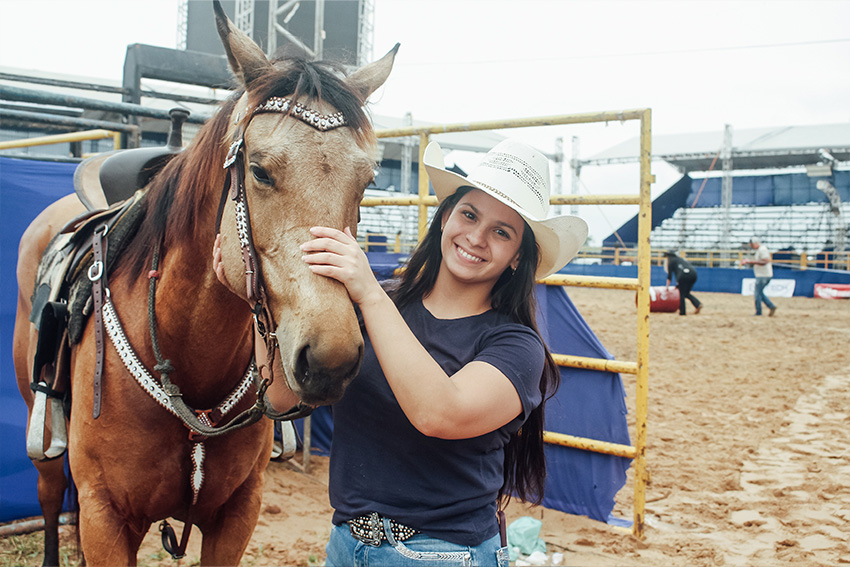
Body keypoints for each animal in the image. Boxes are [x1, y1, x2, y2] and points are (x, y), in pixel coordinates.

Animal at [12, 2, 397, 564]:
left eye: (367, 181)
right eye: (259, 171)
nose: (331, 359)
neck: (188, 359)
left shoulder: (238, 513)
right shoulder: (107, 518)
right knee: (47, 496)